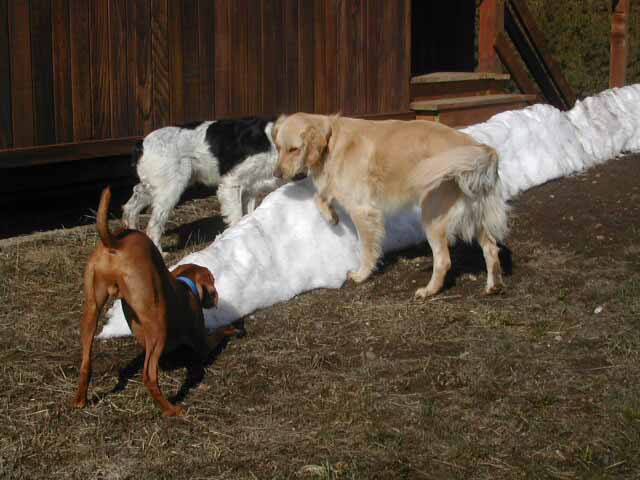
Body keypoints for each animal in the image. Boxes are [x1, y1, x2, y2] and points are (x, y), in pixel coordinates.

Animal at [73, 187, 221, 416]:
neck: (186, 285)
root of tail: (115, 243)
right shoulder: (201, 341)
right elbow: (218, 336)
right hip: (157, 325)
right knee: (149, 376)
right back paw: (172, 409)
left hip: (91, 310)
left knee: (85, 362)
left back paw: (80, 399)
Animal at [122, 116, 282, 254]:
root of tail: (142, 144)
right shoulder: (231, 184)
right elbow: (237, 218)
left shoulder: (250, 189)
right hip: (171, 188)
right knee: (153, 226)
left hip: (152, 187)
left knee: (131, 206)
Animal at [272, 113, 508, 298]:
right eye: (279, 148)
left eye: (294, 149)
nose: (276, 174)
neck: (331, 141)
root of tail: (478, 148)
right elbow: (319, 197)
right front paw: (331, 216)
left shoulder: (362, 209)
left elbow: (367, 249)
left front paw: (361, 275)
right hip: (473, 214)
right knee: (491, 247)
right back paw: (493, 286)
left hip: (432, 215)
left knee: (444, 260)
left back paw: (429, 291)